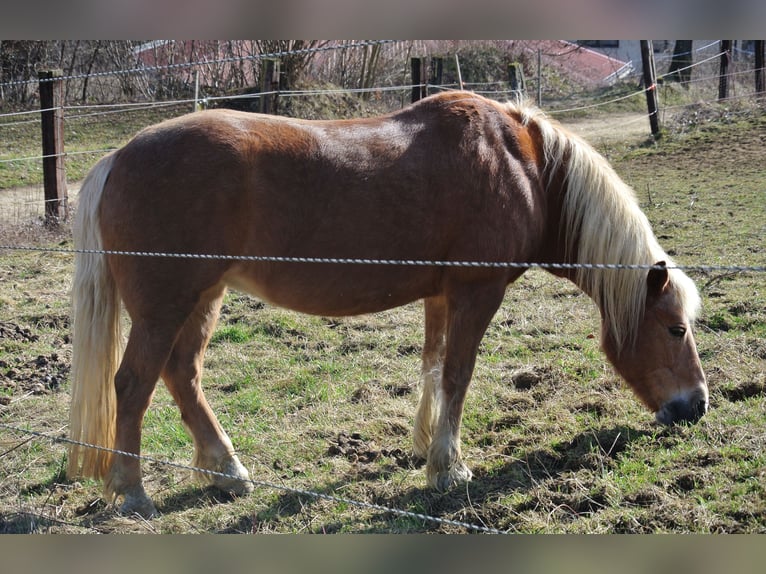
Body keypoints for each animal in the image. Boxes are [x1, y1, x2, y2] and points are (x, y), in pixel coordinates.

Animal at [69, 92, 712, 520]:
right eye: (675, 329)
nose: (696, 407)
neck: (522, 163)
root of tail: (118, 158)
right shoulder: (477, 292)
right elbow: (458, 374)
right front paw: (449, 469)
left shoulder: (441, 294)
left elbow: (433, 366)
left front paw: (427, 447)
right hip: (165, 307)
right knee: (134, 384)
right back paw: (132, 490)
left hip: (203, 297)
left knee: (183, 375)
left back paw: (226, 471)